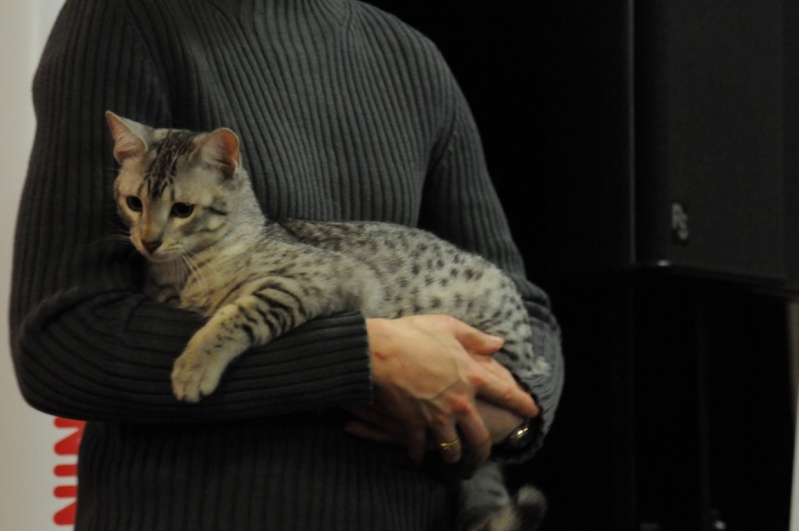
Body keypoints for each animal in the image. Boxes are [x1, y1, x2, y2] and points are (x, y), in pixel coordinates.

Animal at [108, 112, 552, 531]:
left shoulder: (319, 279)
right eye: (134, 203)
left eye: (182, 210)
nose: (148, 241)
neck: (186, 272)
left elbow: (238, 313)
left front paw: (194, 364)